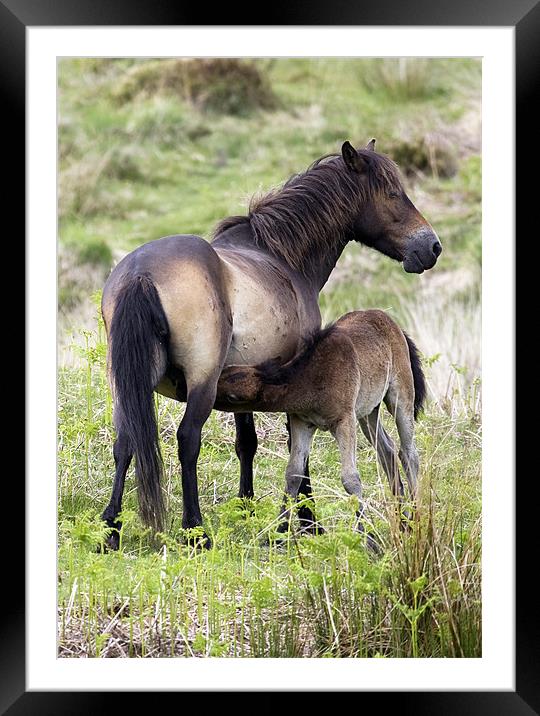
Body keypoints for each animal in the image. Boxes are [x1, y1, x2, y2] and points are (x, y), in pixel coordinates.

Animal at [215, 310, 426, 544]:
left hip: (400, 397)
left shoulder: (345, 421)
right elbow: (293, 473)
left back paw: (416, 519)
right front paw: (278, 533)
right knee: (387, 450)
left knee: (408, 453)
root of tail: (389, 320)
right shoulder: (302, 423)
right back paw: (403, 519)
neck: (312, 377)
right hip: (368, 411)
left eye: (229, 395)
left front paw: (368, 539)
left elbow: (350, 479)